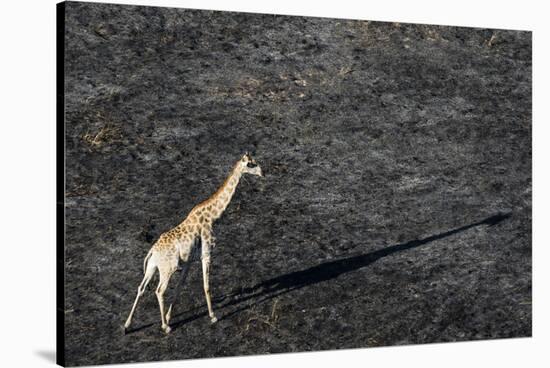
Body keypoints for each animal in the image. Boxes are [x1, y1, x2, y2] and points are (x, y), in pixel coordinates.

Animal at [123, 152, 266, 334]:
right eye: (251, 164)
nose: (263, 172)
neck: (213, 216)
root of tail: (152, 252)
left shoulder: (189, 261)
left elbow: (180, 286)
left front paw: (169, 316)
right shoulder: (206, 254)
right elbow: (206, 285)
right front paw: (213, 316)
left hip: (152, 267)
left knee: (141, 288)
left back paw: (127, 326)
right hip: (167, 269)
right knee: (159, 291)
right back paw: (165, 327)